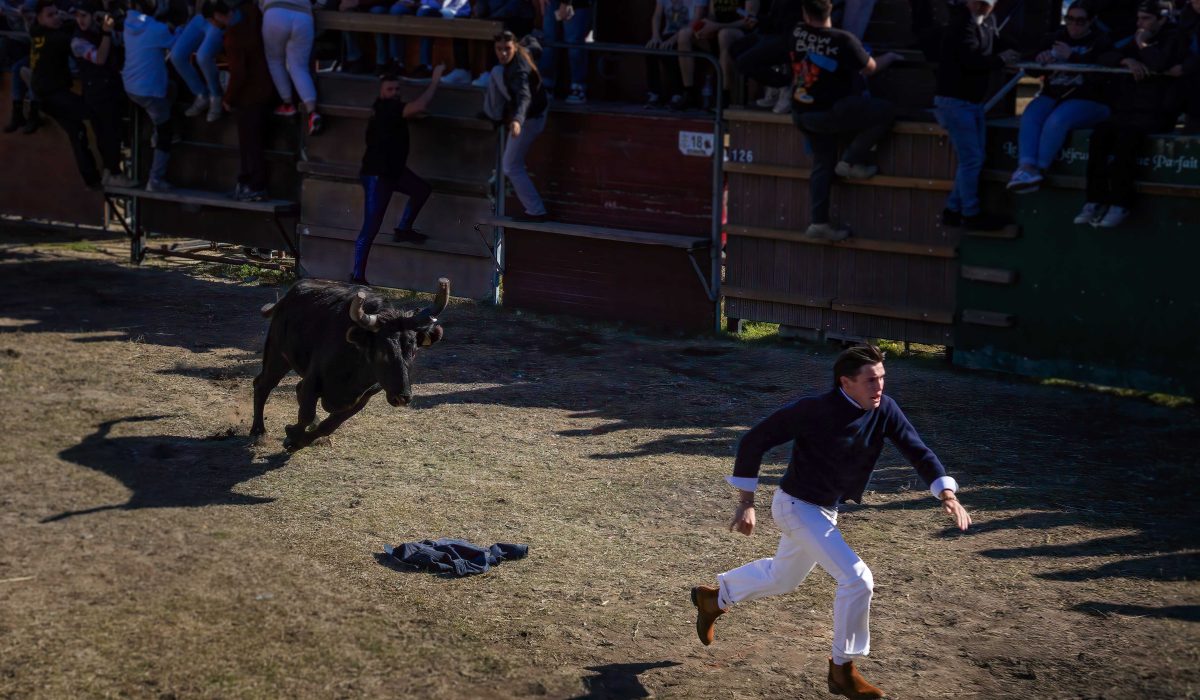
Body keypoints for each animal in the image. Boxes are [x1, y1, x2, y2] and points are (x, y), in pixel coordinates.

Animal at [250, 277, 449, 449]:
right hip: (277, 355)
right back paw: (258, 432)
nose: (403, 397)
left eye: (413, 351)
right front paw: (292, 436)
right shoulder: (313, 380)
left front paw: (304, 439)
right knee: (263, 385)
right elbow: (306, 414)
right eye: (382, 351)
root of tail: (288, 296)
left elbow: (330, 424)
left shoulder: (364, 397)